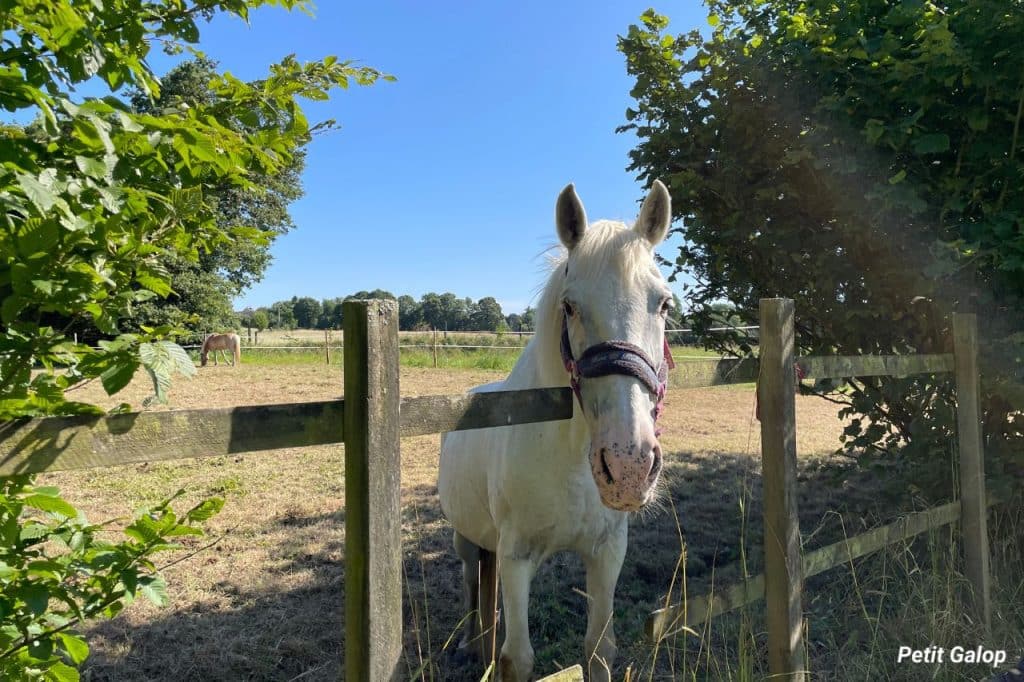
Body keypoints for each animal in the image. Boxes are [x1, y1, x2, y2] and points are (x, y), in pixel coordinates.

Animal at [438, 181, 675, 681]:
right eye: (570, 306)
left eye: (664, 303)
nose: (627, 467)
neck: (568, 458)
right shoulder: (517, 558)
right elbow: (517, 659)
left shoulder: (607, 551)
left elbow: (599, 648)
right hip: (465, 539)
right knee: (470, 582)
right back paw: (469, 645)